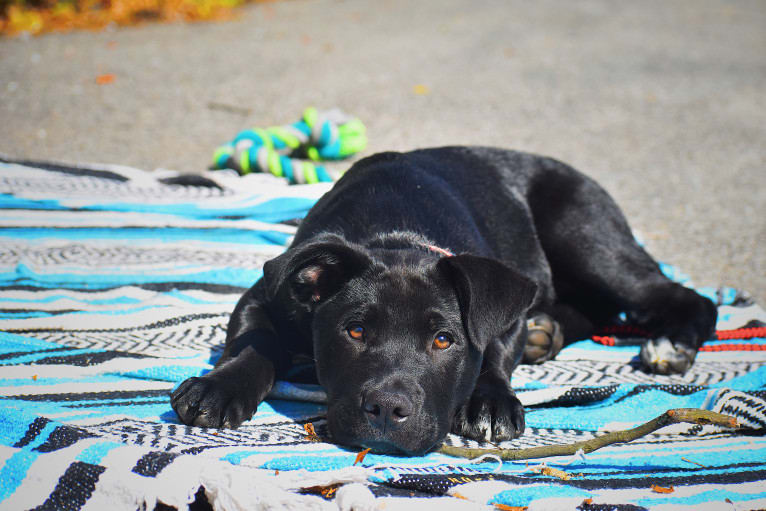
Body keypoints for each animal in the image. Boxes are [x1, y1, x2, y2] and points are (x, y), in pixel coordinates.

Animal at [171, 147, 716, 456]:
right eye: (354, 331)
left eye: (443, 340)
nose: (386, 410)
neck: (395, 233)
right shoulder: (268, 293)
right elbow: (254, 342)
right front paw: (218, 387)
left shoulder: (503, 304)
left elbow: (493, 350)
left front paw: (490, 401)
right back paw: (549, 332)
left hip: (585, 237)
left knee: (684, 297)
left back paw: (669, 345)